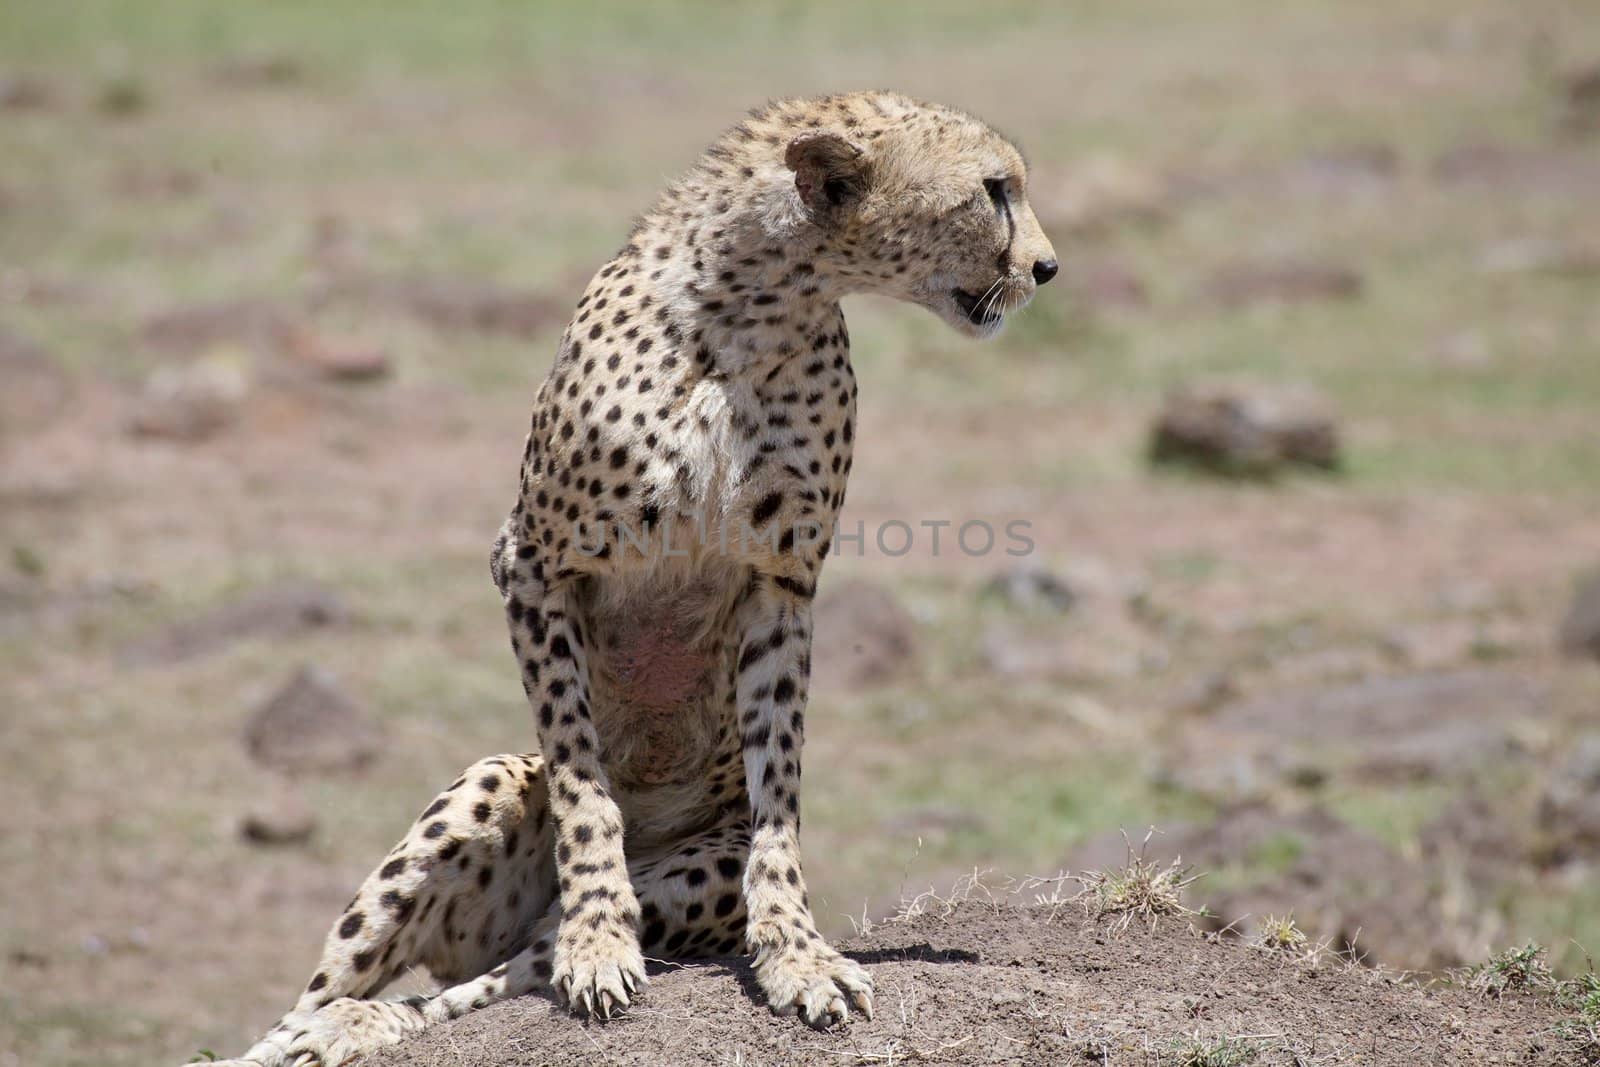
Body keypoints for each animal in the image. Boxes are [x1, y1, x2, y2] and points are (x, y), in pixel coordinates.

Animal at [196, 93, 1049, 1067]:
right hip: (490, 777)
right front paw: (600, 936)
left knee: (487, 976)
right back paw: (335, 1021)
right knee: (334, 991)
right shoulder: (533, 563)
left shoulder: (782, 584)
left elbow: (779, 796)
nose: (1046, 266)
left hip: (683, 873)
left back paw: (367, 1022)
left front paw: (796, 954)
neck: (756, 306)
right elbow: (583, 780)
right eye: (994, 189)